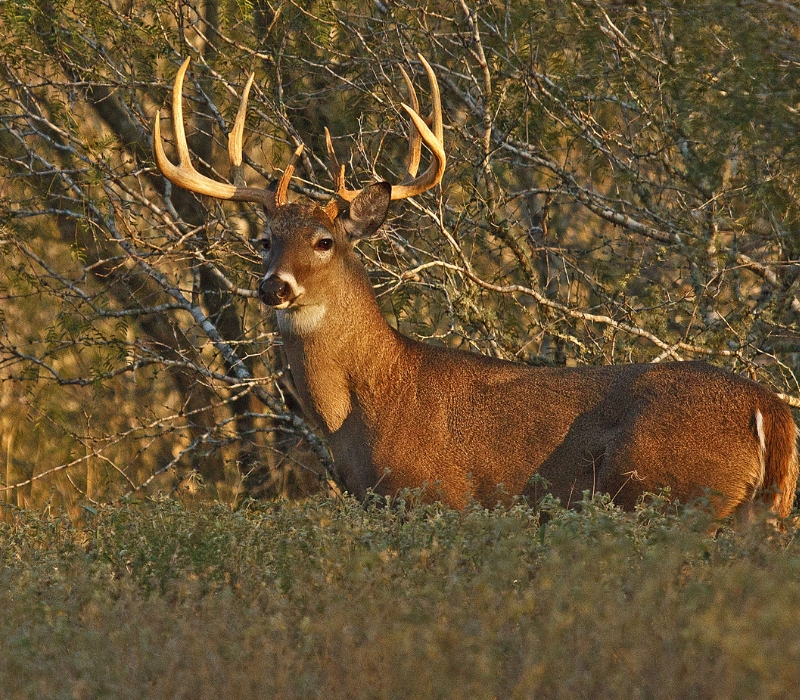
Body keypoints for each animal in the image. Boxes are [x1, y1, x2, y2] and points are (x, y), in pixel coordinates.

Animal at [154, 56, 799, 520]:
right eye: (265, 239)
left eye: (324, 241)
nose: (274, 287)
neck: (368, 407)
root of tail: (770, 411)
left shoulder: (441, 498)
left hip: (678, 498)